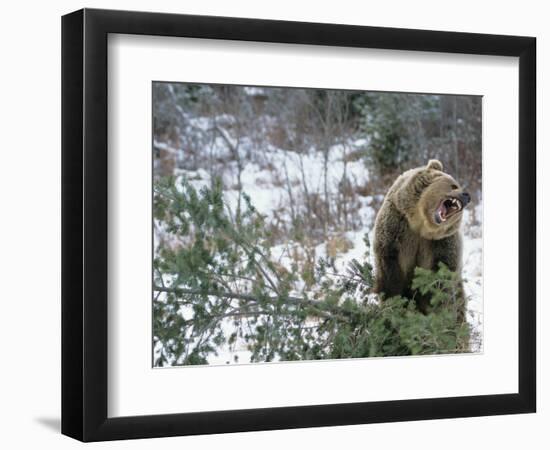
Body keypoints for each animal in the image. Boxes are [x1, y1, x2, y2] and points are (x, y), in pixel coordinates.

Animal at [378, 159, 472, 316]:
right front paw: (394, 304)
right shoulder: (396, 228)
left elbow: (440, 280)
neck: (421, 224)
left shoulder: (441, 243)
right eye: (454, 185)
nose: (467, 196)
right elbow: (390, 271)